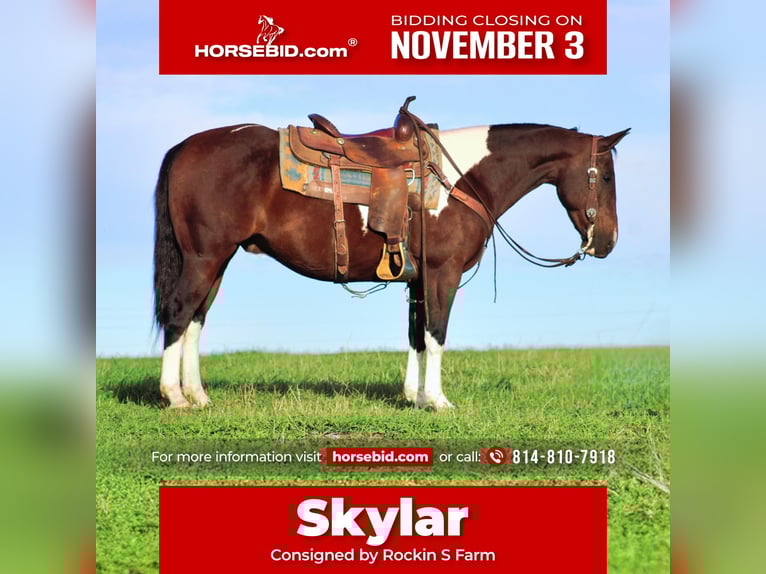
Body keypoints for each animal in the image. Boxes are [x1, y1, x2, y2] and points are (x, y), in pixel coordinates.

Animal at [152, 107, 629, 410]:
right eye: (606, 176)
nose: (607, 242)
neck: (462, 179)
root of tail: (185, 147)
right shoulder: (441, 274)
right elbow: (436, 335)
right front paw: (437, 400)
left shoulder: (417, 280)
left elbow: (416, 336)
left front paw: (414, 397)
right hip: (204, 257)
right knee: (178, 312)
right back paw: (175, 397)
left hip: (217, 260)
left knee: (196, 319)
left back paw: (199, 396)